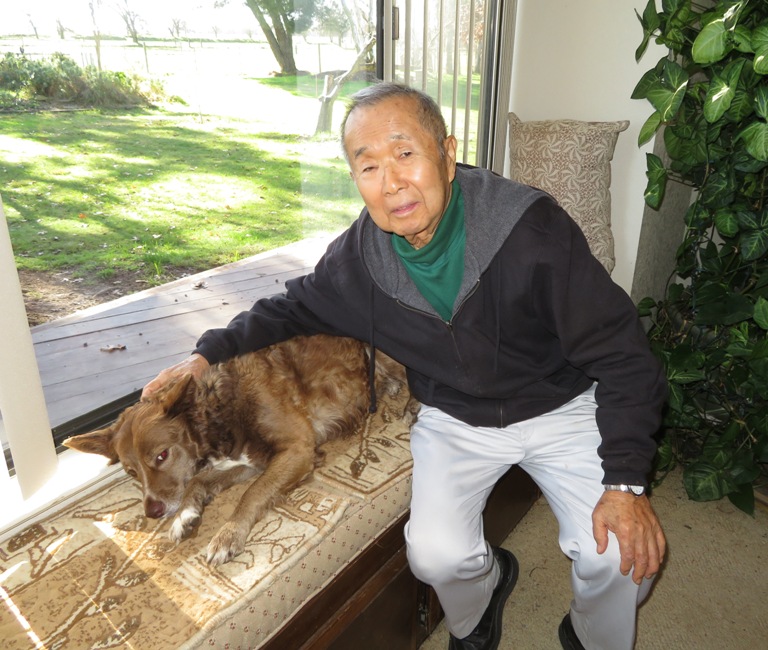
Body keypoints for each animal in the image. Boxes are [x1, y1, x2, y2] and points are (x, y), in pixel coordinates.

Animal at [63, 334, 416, 560]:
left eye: (162, 456)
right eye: (131, 472)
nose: (152, 512)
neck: (219, 407)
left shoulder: (297, 450)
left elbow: (253, 493)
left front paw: (228, 534)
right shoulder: (249, 462)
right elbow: (199, 482)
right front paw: (186, 517)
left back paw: (411, 405)